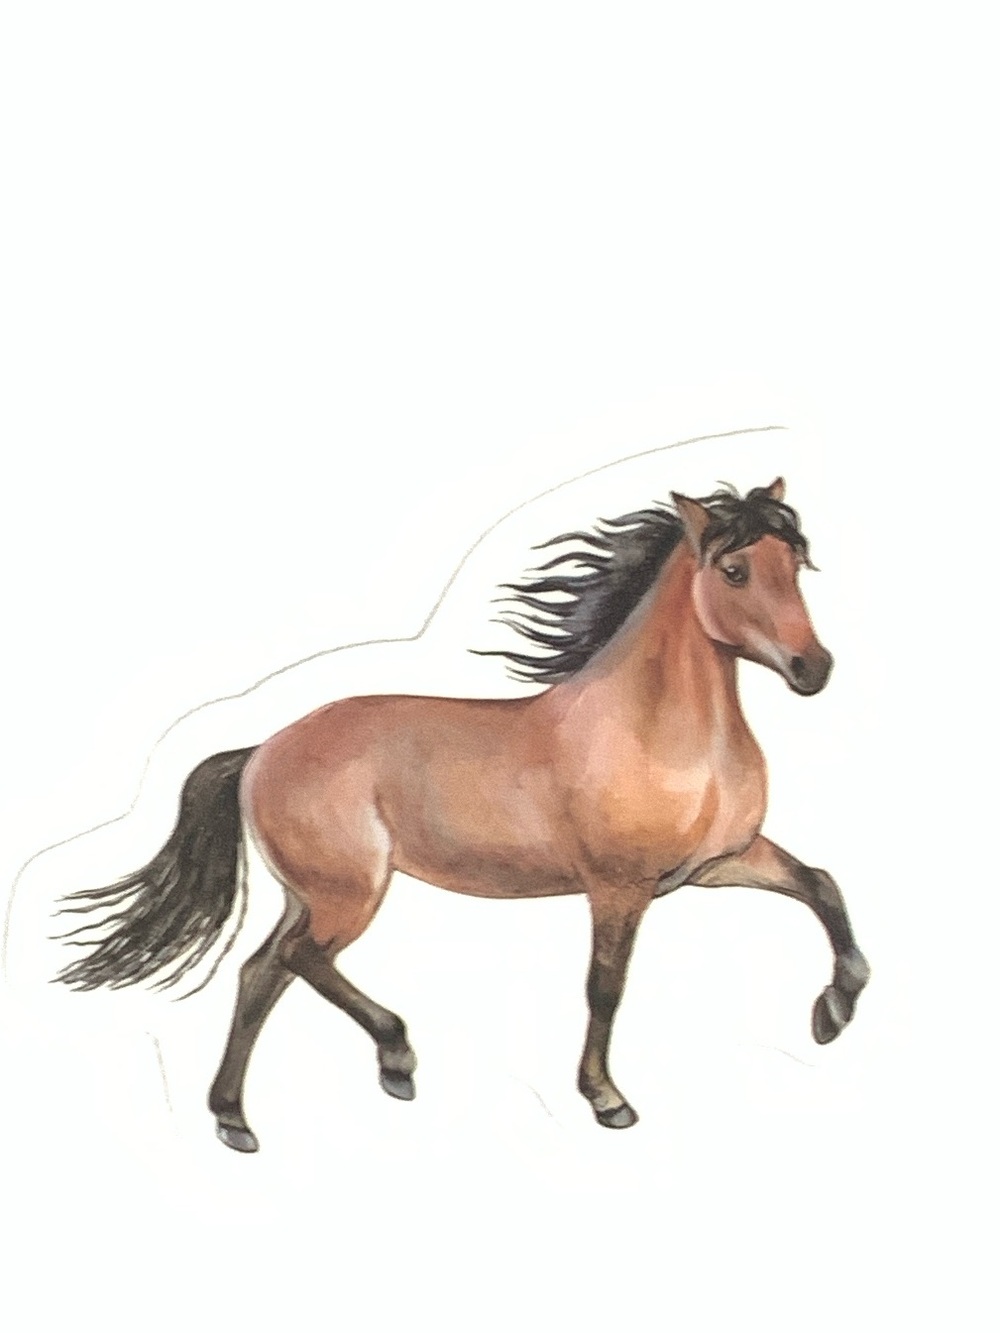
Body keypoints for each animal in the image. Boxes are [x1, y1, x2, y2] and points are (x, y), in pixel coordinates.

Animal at [56, 477, 870, 1152]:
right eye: (734, 571)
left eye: (796, 564)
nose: (815, 669)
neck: (654, 731)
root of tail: (260, 750)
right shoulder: (618, 887)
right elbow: (604, 987)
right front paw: (606, 1099)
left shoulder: (719, 861)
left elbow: (823, 884)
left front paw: (833, 1013)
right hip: (348, 893)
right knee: (298, 960)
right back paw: (396, 1058)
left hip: (309, 894)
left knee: (262, 971)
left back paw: (233, 1119)